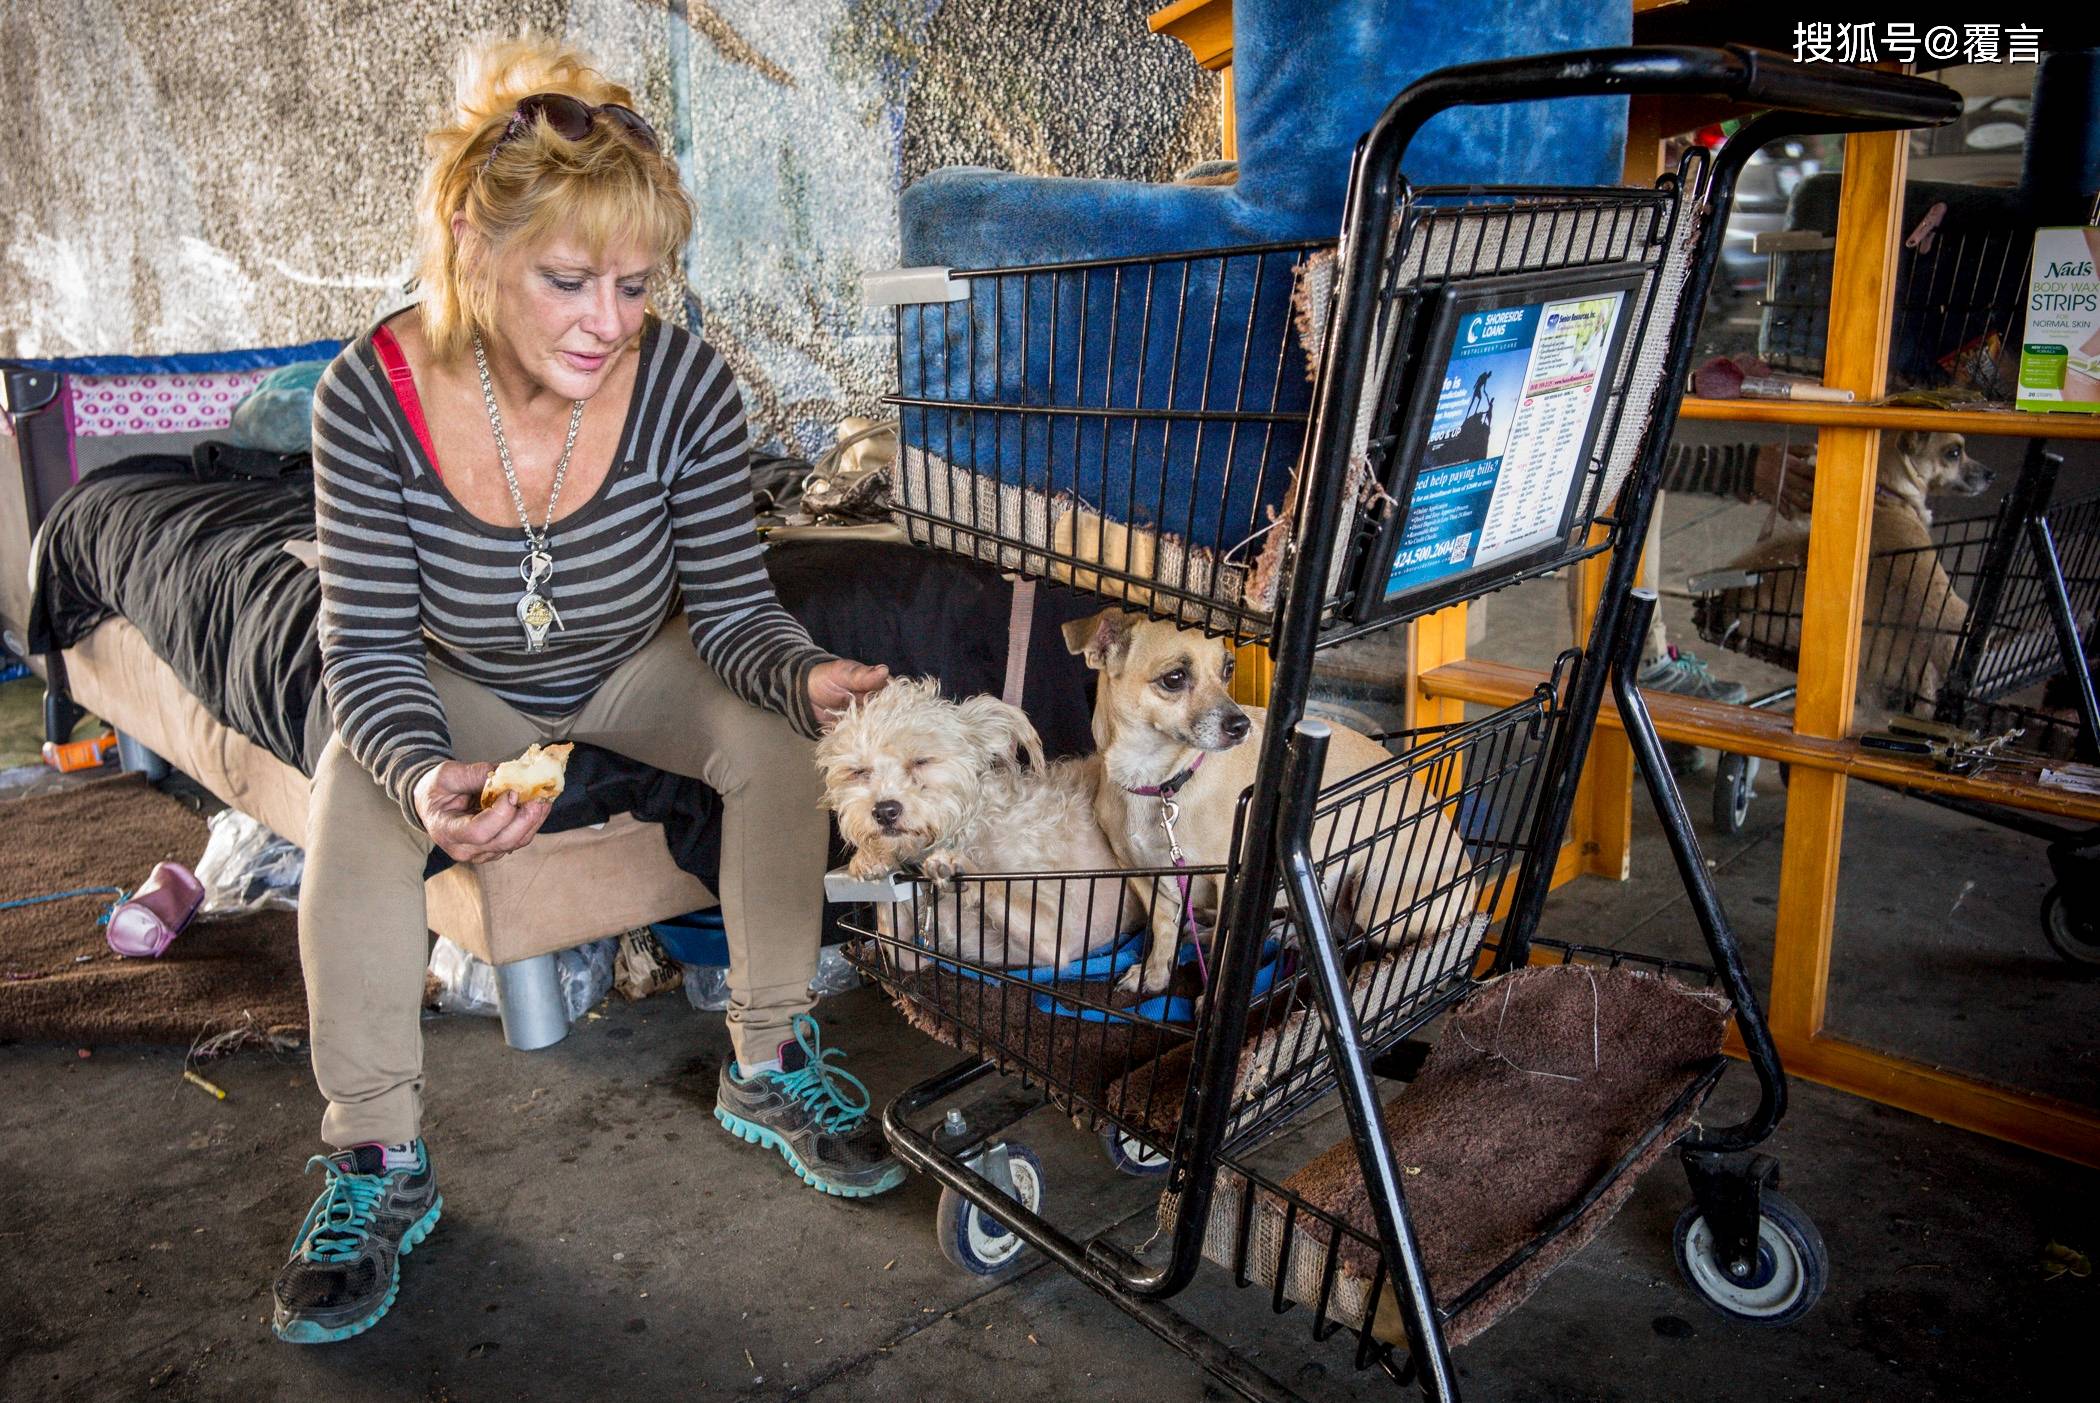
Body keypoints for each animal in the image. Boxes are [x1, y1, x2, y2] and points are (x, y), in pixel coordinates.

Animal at [814, 680, 1134, 974]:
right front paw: (871, 857)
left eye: (921, 761)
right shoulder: (917, 958)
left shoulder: (1053, 939)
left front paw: (957, 866)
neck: (966, 831)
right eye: (858, 772)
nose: (884, 811)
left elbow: (995, 885)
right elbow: (890, 934)